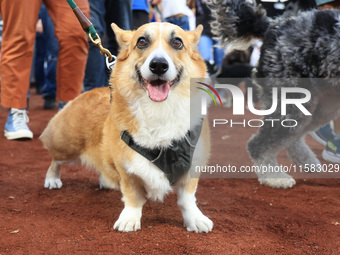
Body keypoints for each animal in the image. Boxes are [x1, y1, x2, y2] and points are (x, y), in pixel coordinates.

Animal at [40, 22, 212, 232]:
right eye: (142, 41)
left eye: (177, 42)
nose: (159, 65)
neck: (159, 110)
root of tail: (85, 93)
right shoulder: (127, 169)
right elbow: (133, 197)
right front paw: (129, 220)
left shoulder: (192, 167)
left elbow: (187, 199)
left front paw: (195, 219)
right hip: (68, 147)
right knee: (55, 161)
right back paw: (52, 179)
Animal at [210, 0, 340, 187]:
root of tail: (273, 26)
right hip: (292, 100)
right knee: (258, 145)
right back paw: (275, 177)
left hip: (322, 105)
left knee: (294, 137)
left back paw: (307, 161)